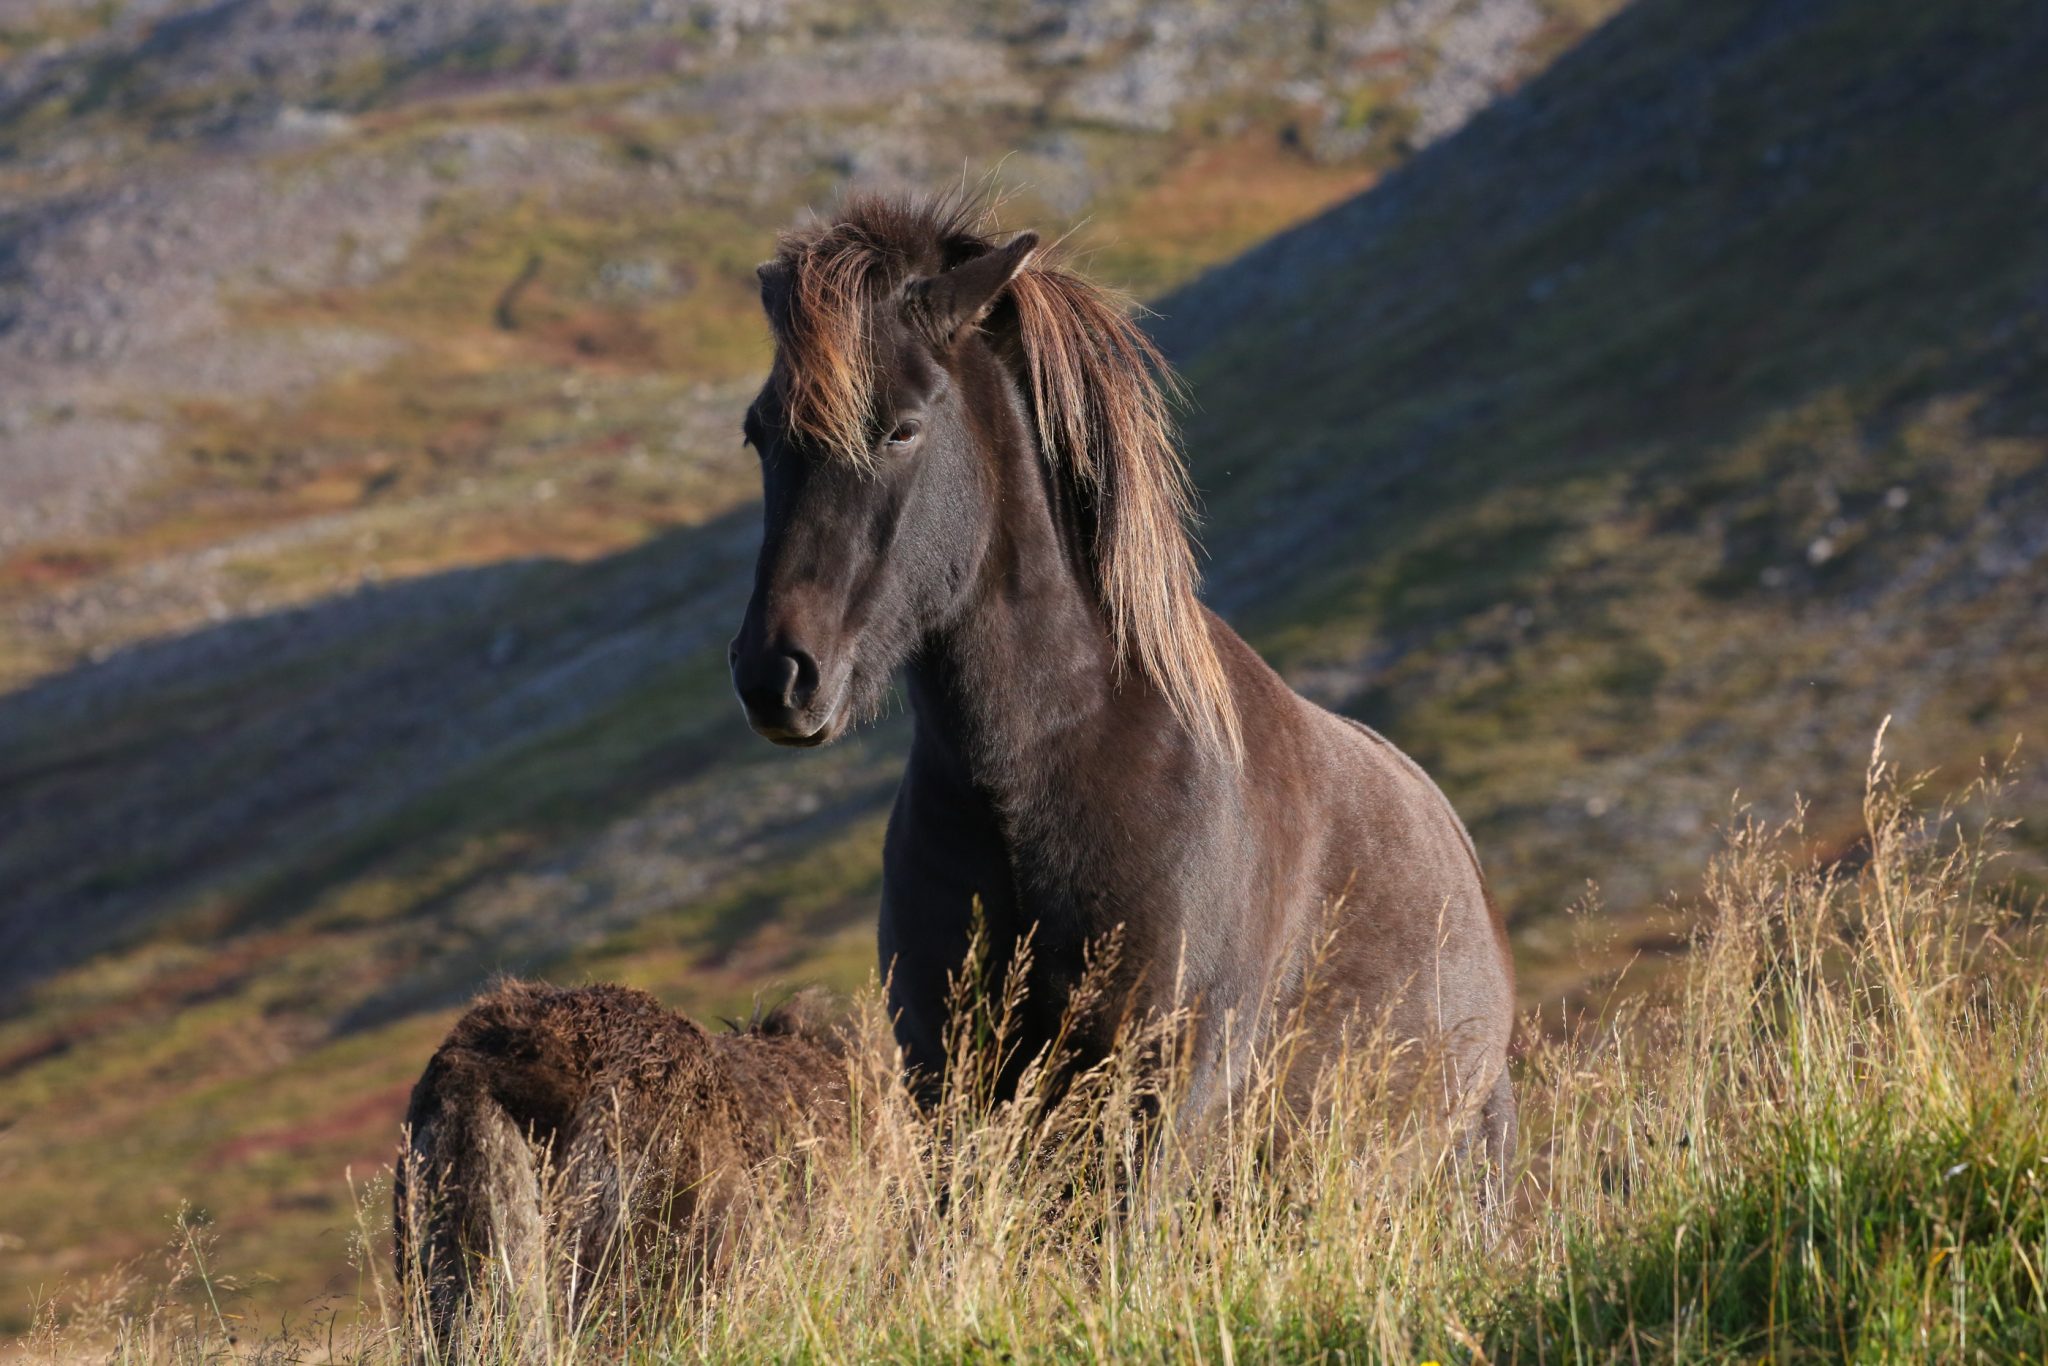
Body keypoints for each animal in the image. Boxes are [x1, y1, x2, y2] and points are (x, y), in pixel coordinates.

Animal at [727, 192, 1514, 1164]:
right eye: (759, 432)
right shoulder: (948, 1091)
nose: (776, 675)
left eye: (902, 427)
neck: (1052, 768)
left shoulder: (1149, 1107)